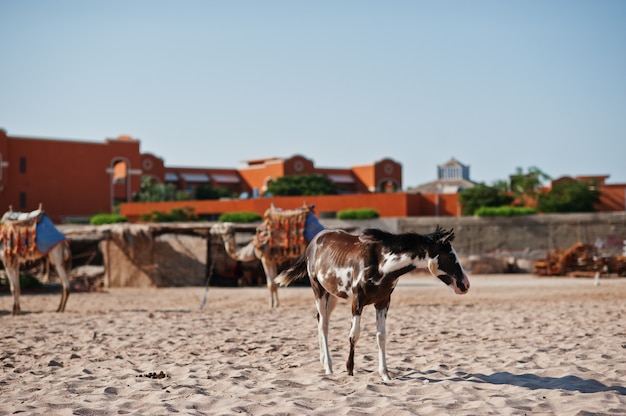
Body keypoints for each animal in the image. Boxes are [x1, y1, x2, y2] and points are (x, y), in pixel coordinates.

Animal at [274, 226, 468, 382]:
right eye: (450, 258)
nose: (465, 285)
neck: (380, 263)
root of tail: (313, 242)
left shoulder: (383, 302)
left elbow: (381, 336)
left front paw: (385, 375)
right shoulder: (357, 302)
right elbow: (354, 335)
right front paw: (350, 370)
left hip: (333, 295)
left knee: (320, 320)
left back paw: (324, 362)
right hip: (319, 291)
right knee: (324, 324)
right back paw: (329, 367)